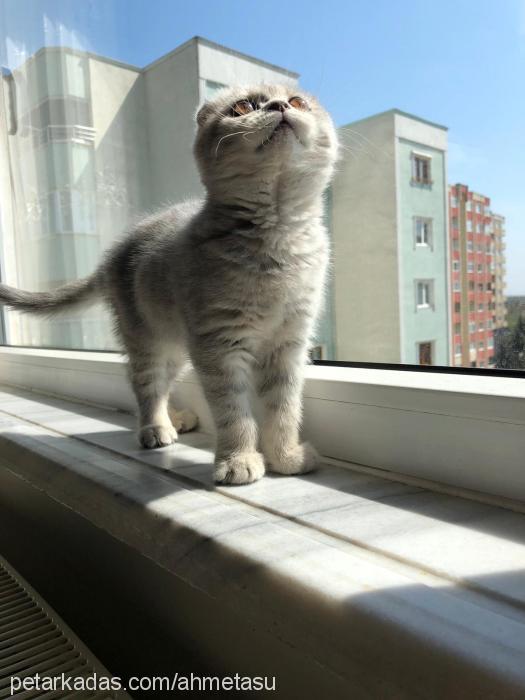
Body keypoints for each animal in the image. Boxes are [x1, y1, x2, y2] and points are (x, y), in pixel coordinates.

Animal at [0, 82, 336, 484]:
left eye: (298, 101)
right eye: (242, 107)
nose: (279, 105)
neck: (277, 235)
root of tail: (113, 253)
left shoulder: (287, 345)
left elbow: (284, 408)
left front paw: (286, 457)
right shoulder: (219, 345)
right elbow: (233, 411)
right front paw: (238, 460)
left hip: (177, 345)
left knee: (163, 384)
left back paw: (176, 418)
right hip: (147, 338)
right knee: (145, 384)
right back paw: (155, 428)